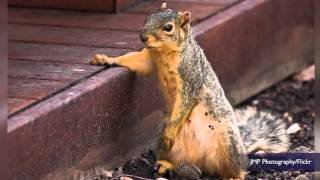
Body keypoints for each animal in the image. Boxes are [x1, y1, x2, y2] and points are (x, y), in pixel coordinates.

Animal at [90, 2, 290, 179]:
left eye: (168, 27)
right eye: (147, 18)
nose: (143, 37)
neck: (164, 53)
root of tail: (203, 160)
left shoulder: (190, 75)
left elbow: (185, 101)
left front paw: (172, 129)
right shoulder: (148, 59)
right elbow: (133, 60)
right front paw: (106, 59)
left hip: (229, 142)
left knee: (237, 168)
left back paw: (235, 176)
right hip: (164, 138)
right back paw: (166, 164)